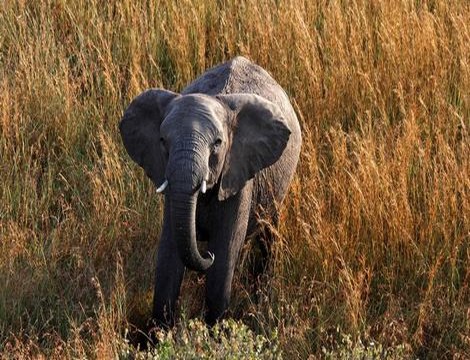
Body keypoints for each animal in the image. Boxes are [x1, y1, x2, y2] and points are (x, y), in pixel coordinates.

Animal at [118, 55, 302, 326]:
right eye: (162, 141)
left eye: (217, 143)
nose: (206, 256)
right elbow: (169, 253)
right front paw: (161, 332)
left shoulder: (238, 176)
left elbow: (224, 256)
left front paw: (214, 330)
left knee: (268, 235)